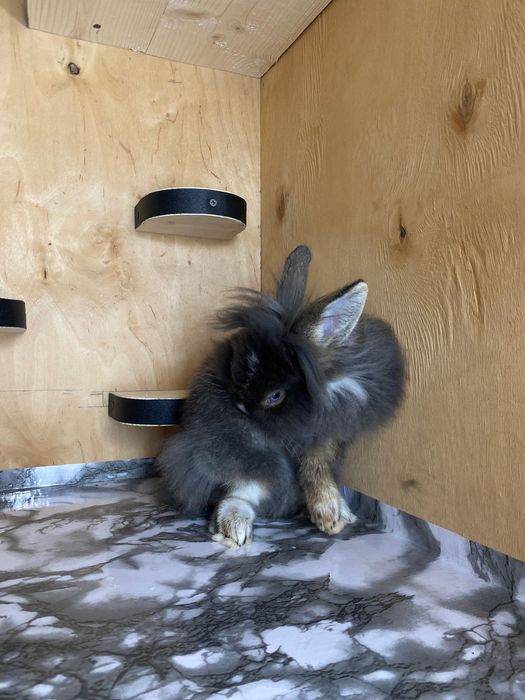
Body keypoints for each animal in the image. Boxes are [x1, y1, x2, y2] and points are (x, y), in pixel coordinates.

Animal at [156, 245, 405, 548]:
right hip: (245, 453)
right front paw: (329, 516)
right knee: (239, 492)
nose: (241, 406)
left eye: (275, 396)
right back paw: (234, 527)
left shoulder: (328, 438)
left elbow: (317, 469)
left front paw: (329, 514)